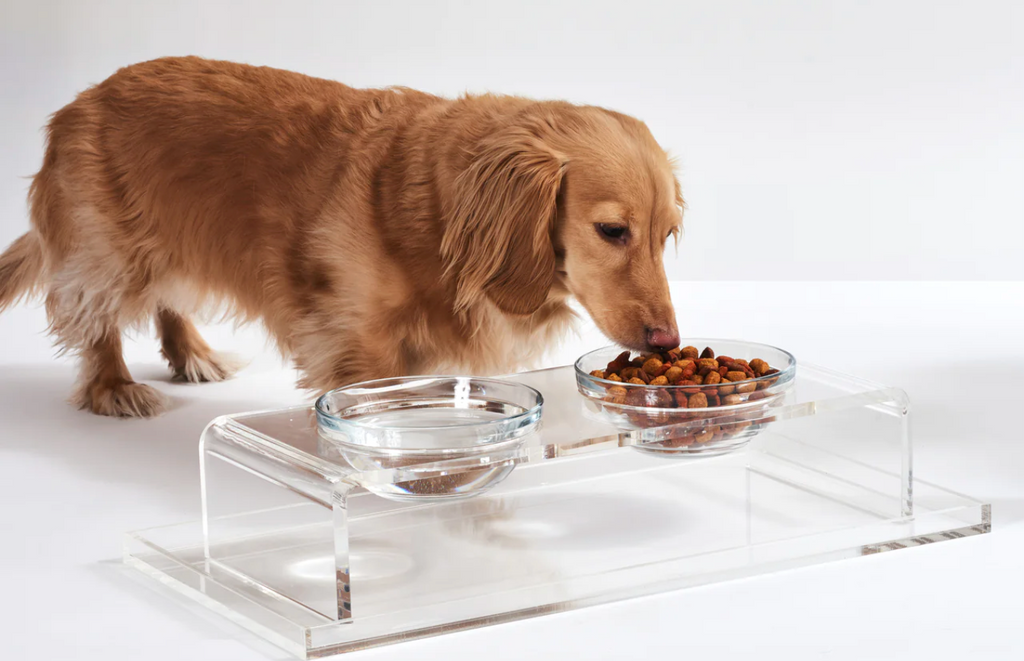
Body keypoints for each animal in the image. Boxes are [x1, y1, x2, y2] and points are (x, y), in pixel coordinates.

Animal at [2, 58, 688, 419]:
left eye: (665, 235)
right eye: (612, 231)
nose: (667, 341)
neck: (434, 210)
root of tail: (78, 102)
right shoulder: (357, 337)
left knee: (168, 298)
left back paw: (191, 352)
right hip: (109, 249)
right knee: (92, 313)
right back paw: (113, 385)